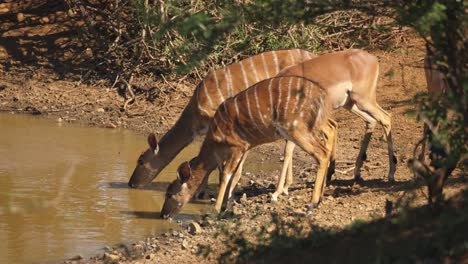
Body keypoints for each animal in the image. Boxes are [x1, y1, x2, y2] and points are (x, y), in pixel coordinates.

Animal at [161, 75, 336, 218]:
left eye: (169, 194)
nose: (163, 214)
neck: (215, 140)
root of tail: (321, 93)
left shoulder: (238, 146)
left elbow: (226, 175)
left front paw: (216, 210)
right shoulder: (243, 148)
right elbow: (234, 174)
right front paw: (226, 206)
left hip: (296, 128)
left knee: (321, 153)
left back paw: (311, 205)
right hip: (311, 125)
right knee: (328, 138)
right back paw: (319, 199)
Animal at [272, 49, 396, 192]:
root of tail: (373, 58)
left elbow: (288, 149)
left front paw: (278, 190)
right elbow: (289, 148)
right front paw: (285, 187)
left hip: (363, 101)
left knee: (386, 118)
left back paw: (391, 174)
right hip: (351, 104)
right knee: (372, 121)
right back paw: (356, 173)